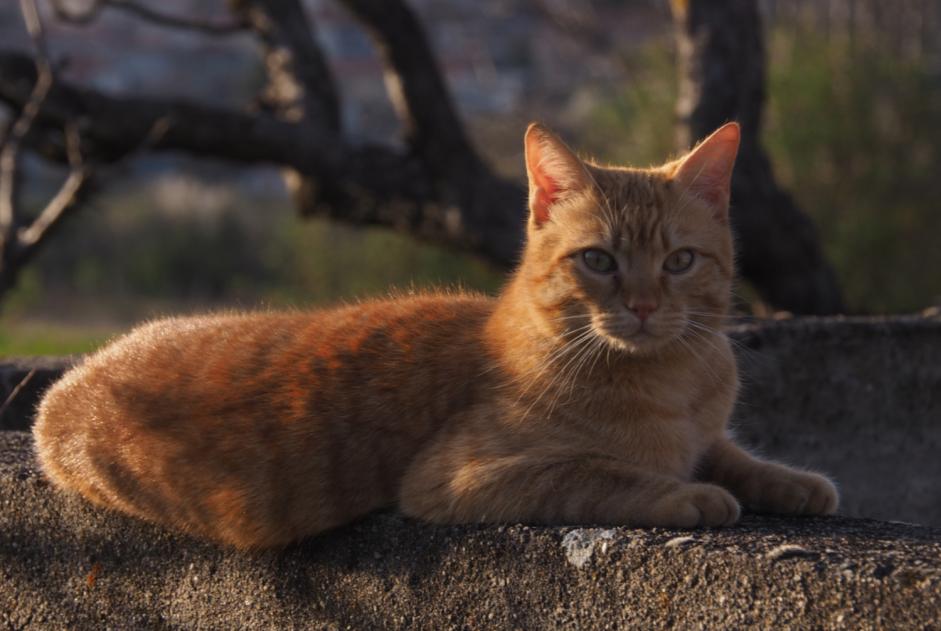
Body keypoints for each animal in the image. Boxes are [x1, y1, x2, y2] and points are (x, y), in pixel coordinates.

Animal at [31, 122, 836, 548]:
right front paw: (688, 494)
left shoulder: (708, 429)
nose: (640, 306)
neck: (672, 378)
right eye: (599, 261)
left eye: (679, 261)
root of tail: (63, 387)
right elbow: (600, 474)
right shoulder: (459, 478)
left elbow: (732, 452)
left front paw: (793, 480)